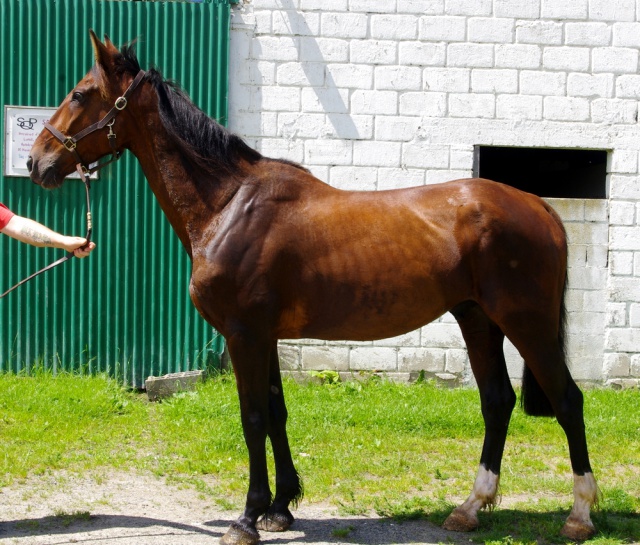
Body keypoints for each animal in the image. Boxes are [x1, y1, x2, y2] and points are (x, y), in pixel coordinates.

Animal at [28, 31, 600, 540]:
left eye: (80, 93)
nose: (37, 161)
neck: (228, 205)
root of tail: (538, 205)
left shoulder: (244, 334)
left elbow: (253, 417)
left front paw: (247, 518)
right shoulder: (265, 337)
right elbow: (277, 413)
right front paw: (281, 508)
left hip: (526, 323)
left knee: (568, 401)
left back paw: (579, 516)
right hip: (477, 319)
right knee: (497, 402)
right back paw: (470, 508)